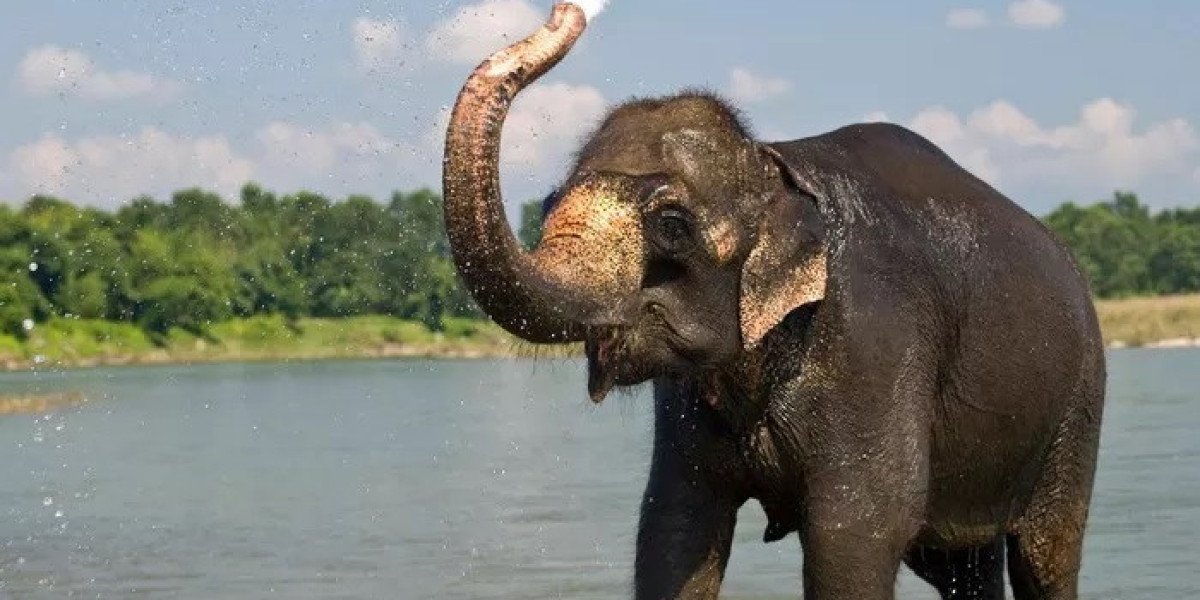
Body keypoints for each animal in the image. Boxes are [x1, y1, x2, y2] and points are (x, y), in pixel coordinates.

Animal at [441, 4, 1106, 599]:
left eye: (672, 226)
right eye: (549, 203)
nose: (567, 11)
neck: (774, 167)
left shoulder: (875, 343)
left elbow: (854, 537)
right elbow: (672, 529)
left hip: (1078, 405)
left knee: (1044, 557)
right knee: (958, 566)